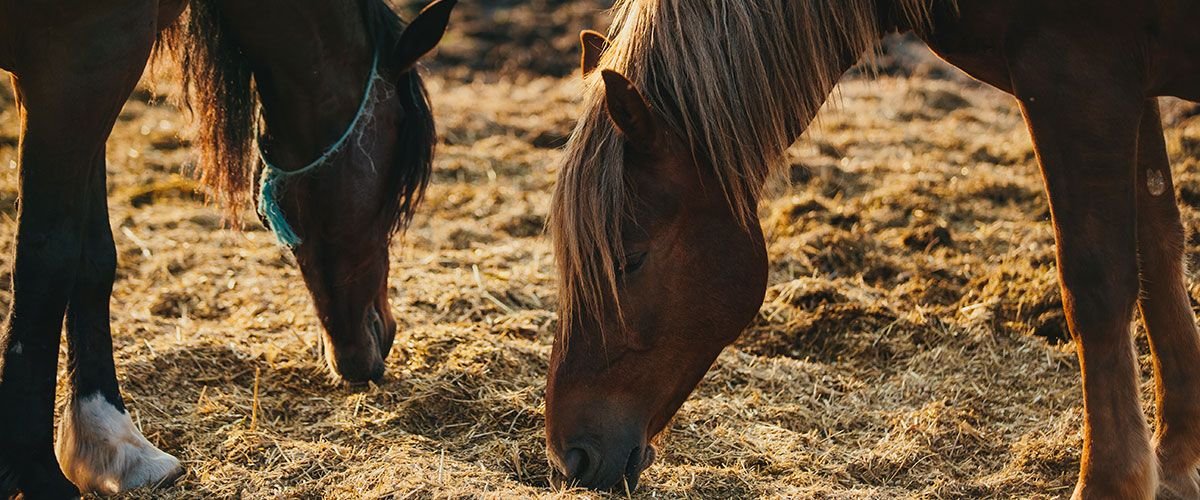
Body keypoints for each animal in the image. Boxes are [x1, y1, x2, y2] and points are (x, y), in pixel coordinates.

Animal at [0, 0, 454, 496]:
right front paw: (38, 475)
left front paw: (112, 442)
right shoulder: (81, 59)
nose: (383, 332)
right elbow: (47, 258)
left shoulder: (90, 76)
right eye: (396, 181)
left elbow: (93, 255)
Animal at [547, 0, 1200, 497]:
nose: (570, 456)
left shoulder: (1076, 75)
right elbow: (1158, 251)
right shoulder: (1122, 84)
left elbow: (1097, 281)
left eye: (629, 259)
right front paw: (1175, 461)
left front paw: (1110, 484)